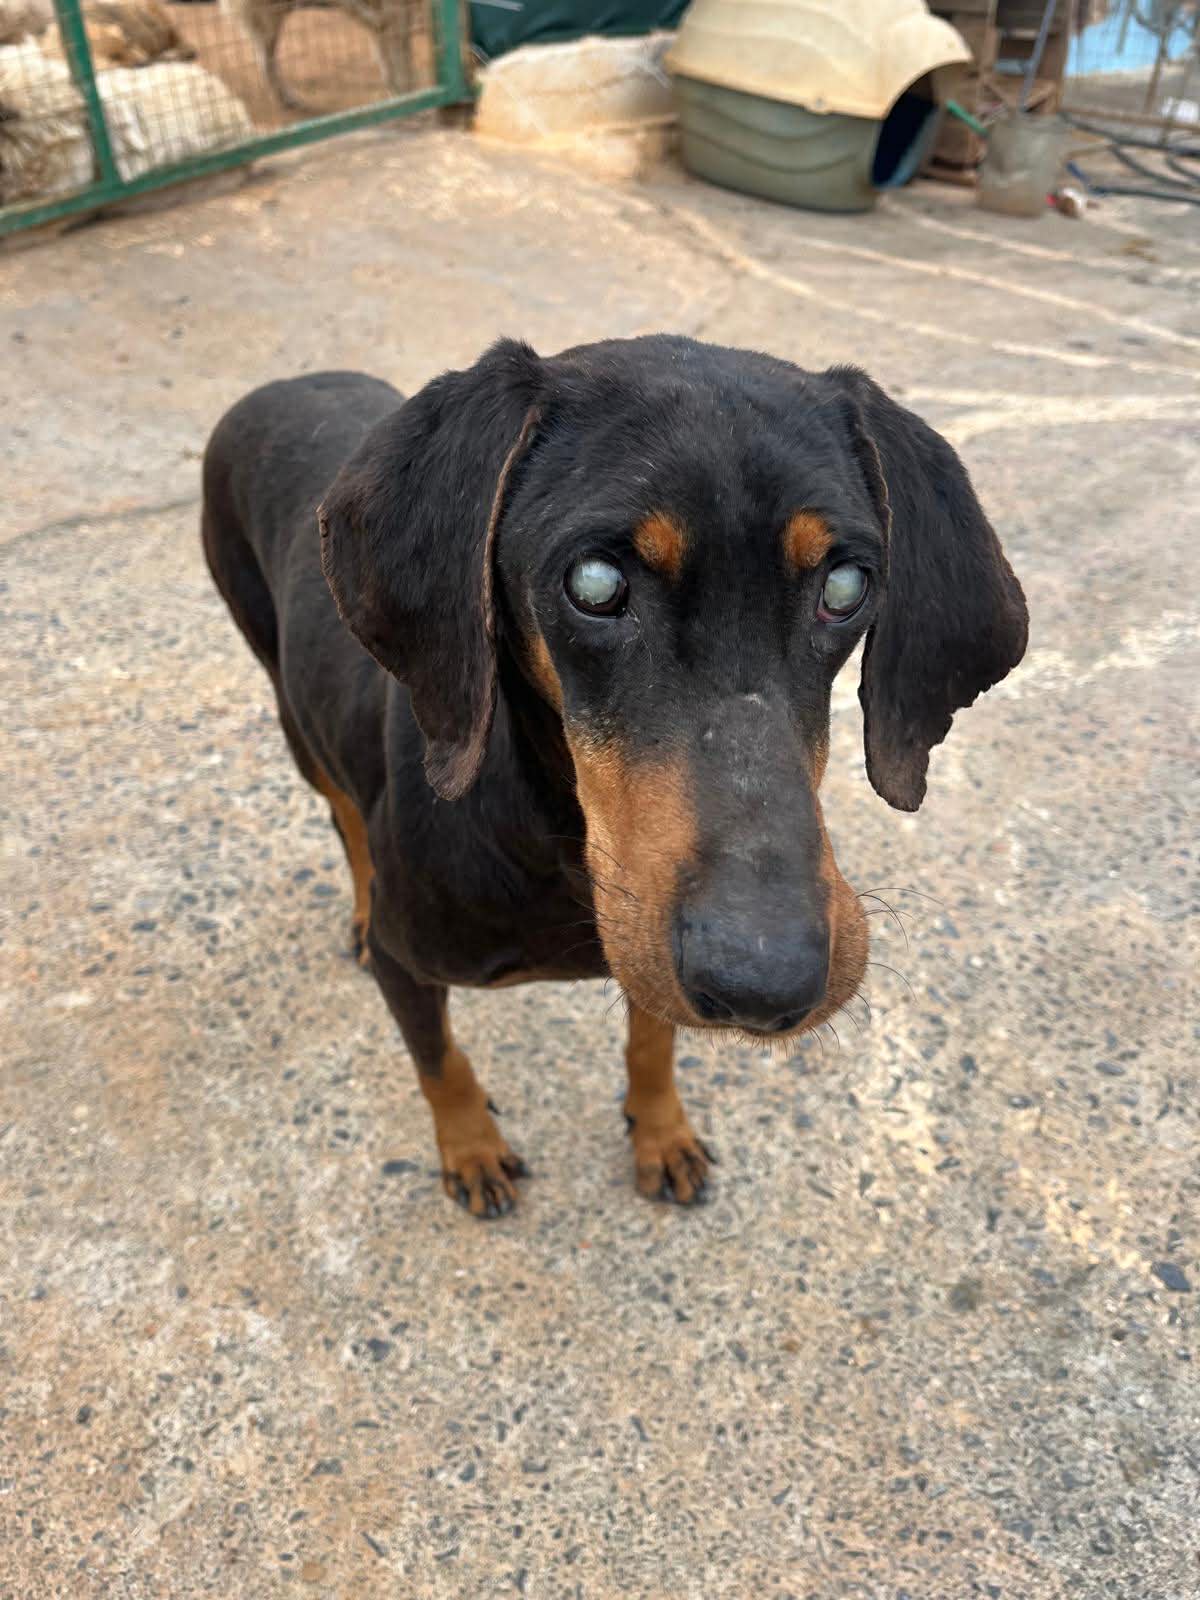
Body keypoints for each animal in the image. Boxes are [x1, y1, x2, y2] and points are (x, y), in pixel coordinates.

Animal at [202, 336, 1028, 1218]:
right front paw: (471, 1150)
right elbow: (440, 1064)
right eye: (594, 583)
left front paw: (660, 1132)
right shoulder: (407, 962)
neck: (557, 842)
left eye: (846, 586)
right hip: (290, 712)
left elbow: (653, 1039)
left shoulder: (646, 942)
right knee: (343, 817)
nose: (765, 981)